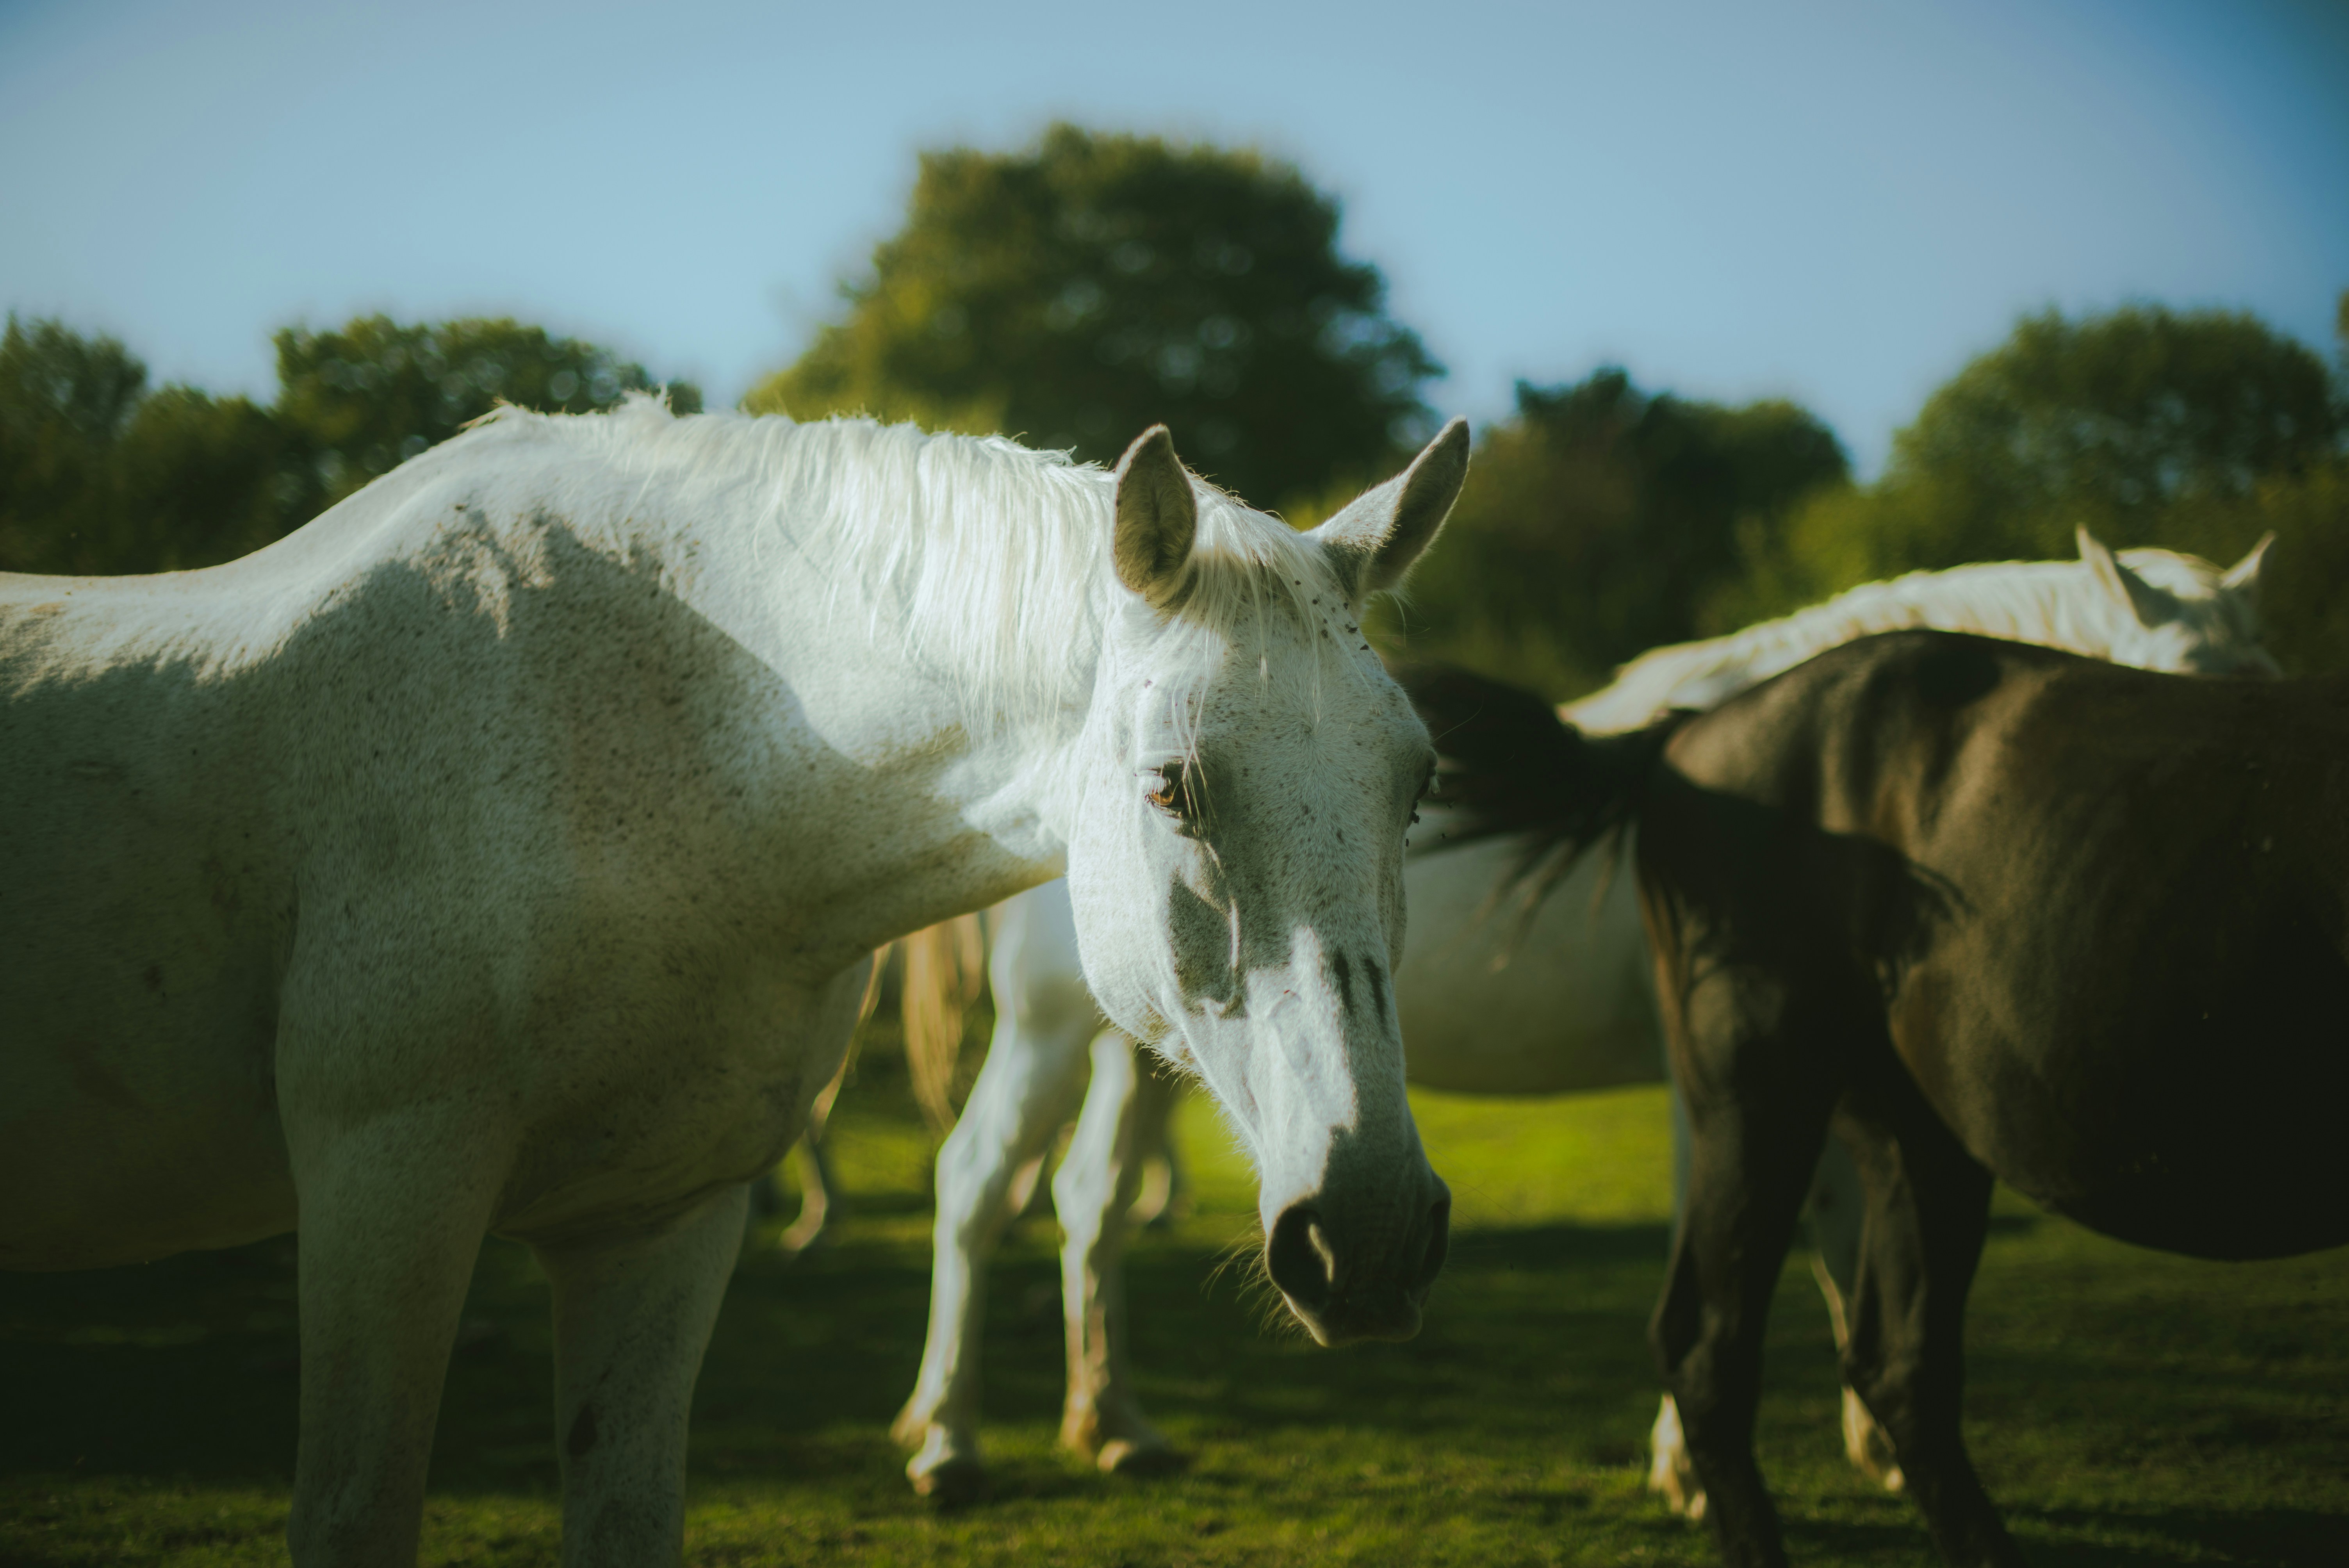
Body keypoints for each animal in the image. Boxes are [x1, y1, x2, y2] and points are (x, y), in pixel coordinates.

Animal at [878, 529, 2275, 1502]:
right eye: (2185, 693)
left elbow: (1829, 1240)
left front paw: (1873, 1442)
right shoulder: (1719, 1081)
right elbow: (1736, 1246)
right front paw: (1694, 1464)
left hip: (1149, 1051)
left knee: (1091, 1206)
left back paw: (1115, 1426)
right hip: (1050, 1032)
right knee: (977, 1187)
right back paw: (948, 1442)